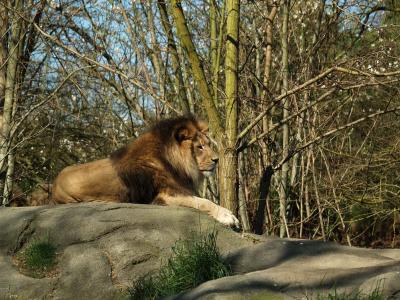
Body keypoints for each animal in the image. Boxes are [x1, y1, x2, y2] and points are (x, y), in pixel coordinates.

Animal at [52, 116, 241, 226]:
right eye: (200, 147)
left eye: (208, 144)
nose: (217, 160)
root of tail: (54, 185)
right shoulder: (166, 195)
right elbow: (204, 202)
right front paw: (228, 216)